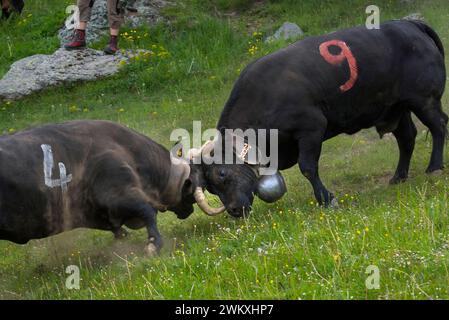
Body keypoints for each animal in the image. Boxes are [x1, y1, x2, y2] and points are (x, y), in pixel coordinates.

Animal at [0, 120, 219, 255]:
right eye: (190, 193)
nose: (188, 211)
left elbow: (118, 229)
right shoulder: (120, 193)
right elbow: (148, 212)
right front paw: (152, 245)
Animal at [197, 19, 448, 215]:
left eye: (222, 173)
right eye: (211, 188)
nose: (233, 210)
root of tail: (410, 24)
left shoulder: (311, 128)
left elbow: (308, 167)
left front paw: (327, 199)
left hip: (424, 99)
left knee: (438, 126)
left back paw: (435, 167)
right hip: (396, 107)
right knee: (407, 138)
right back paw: (398, 177)